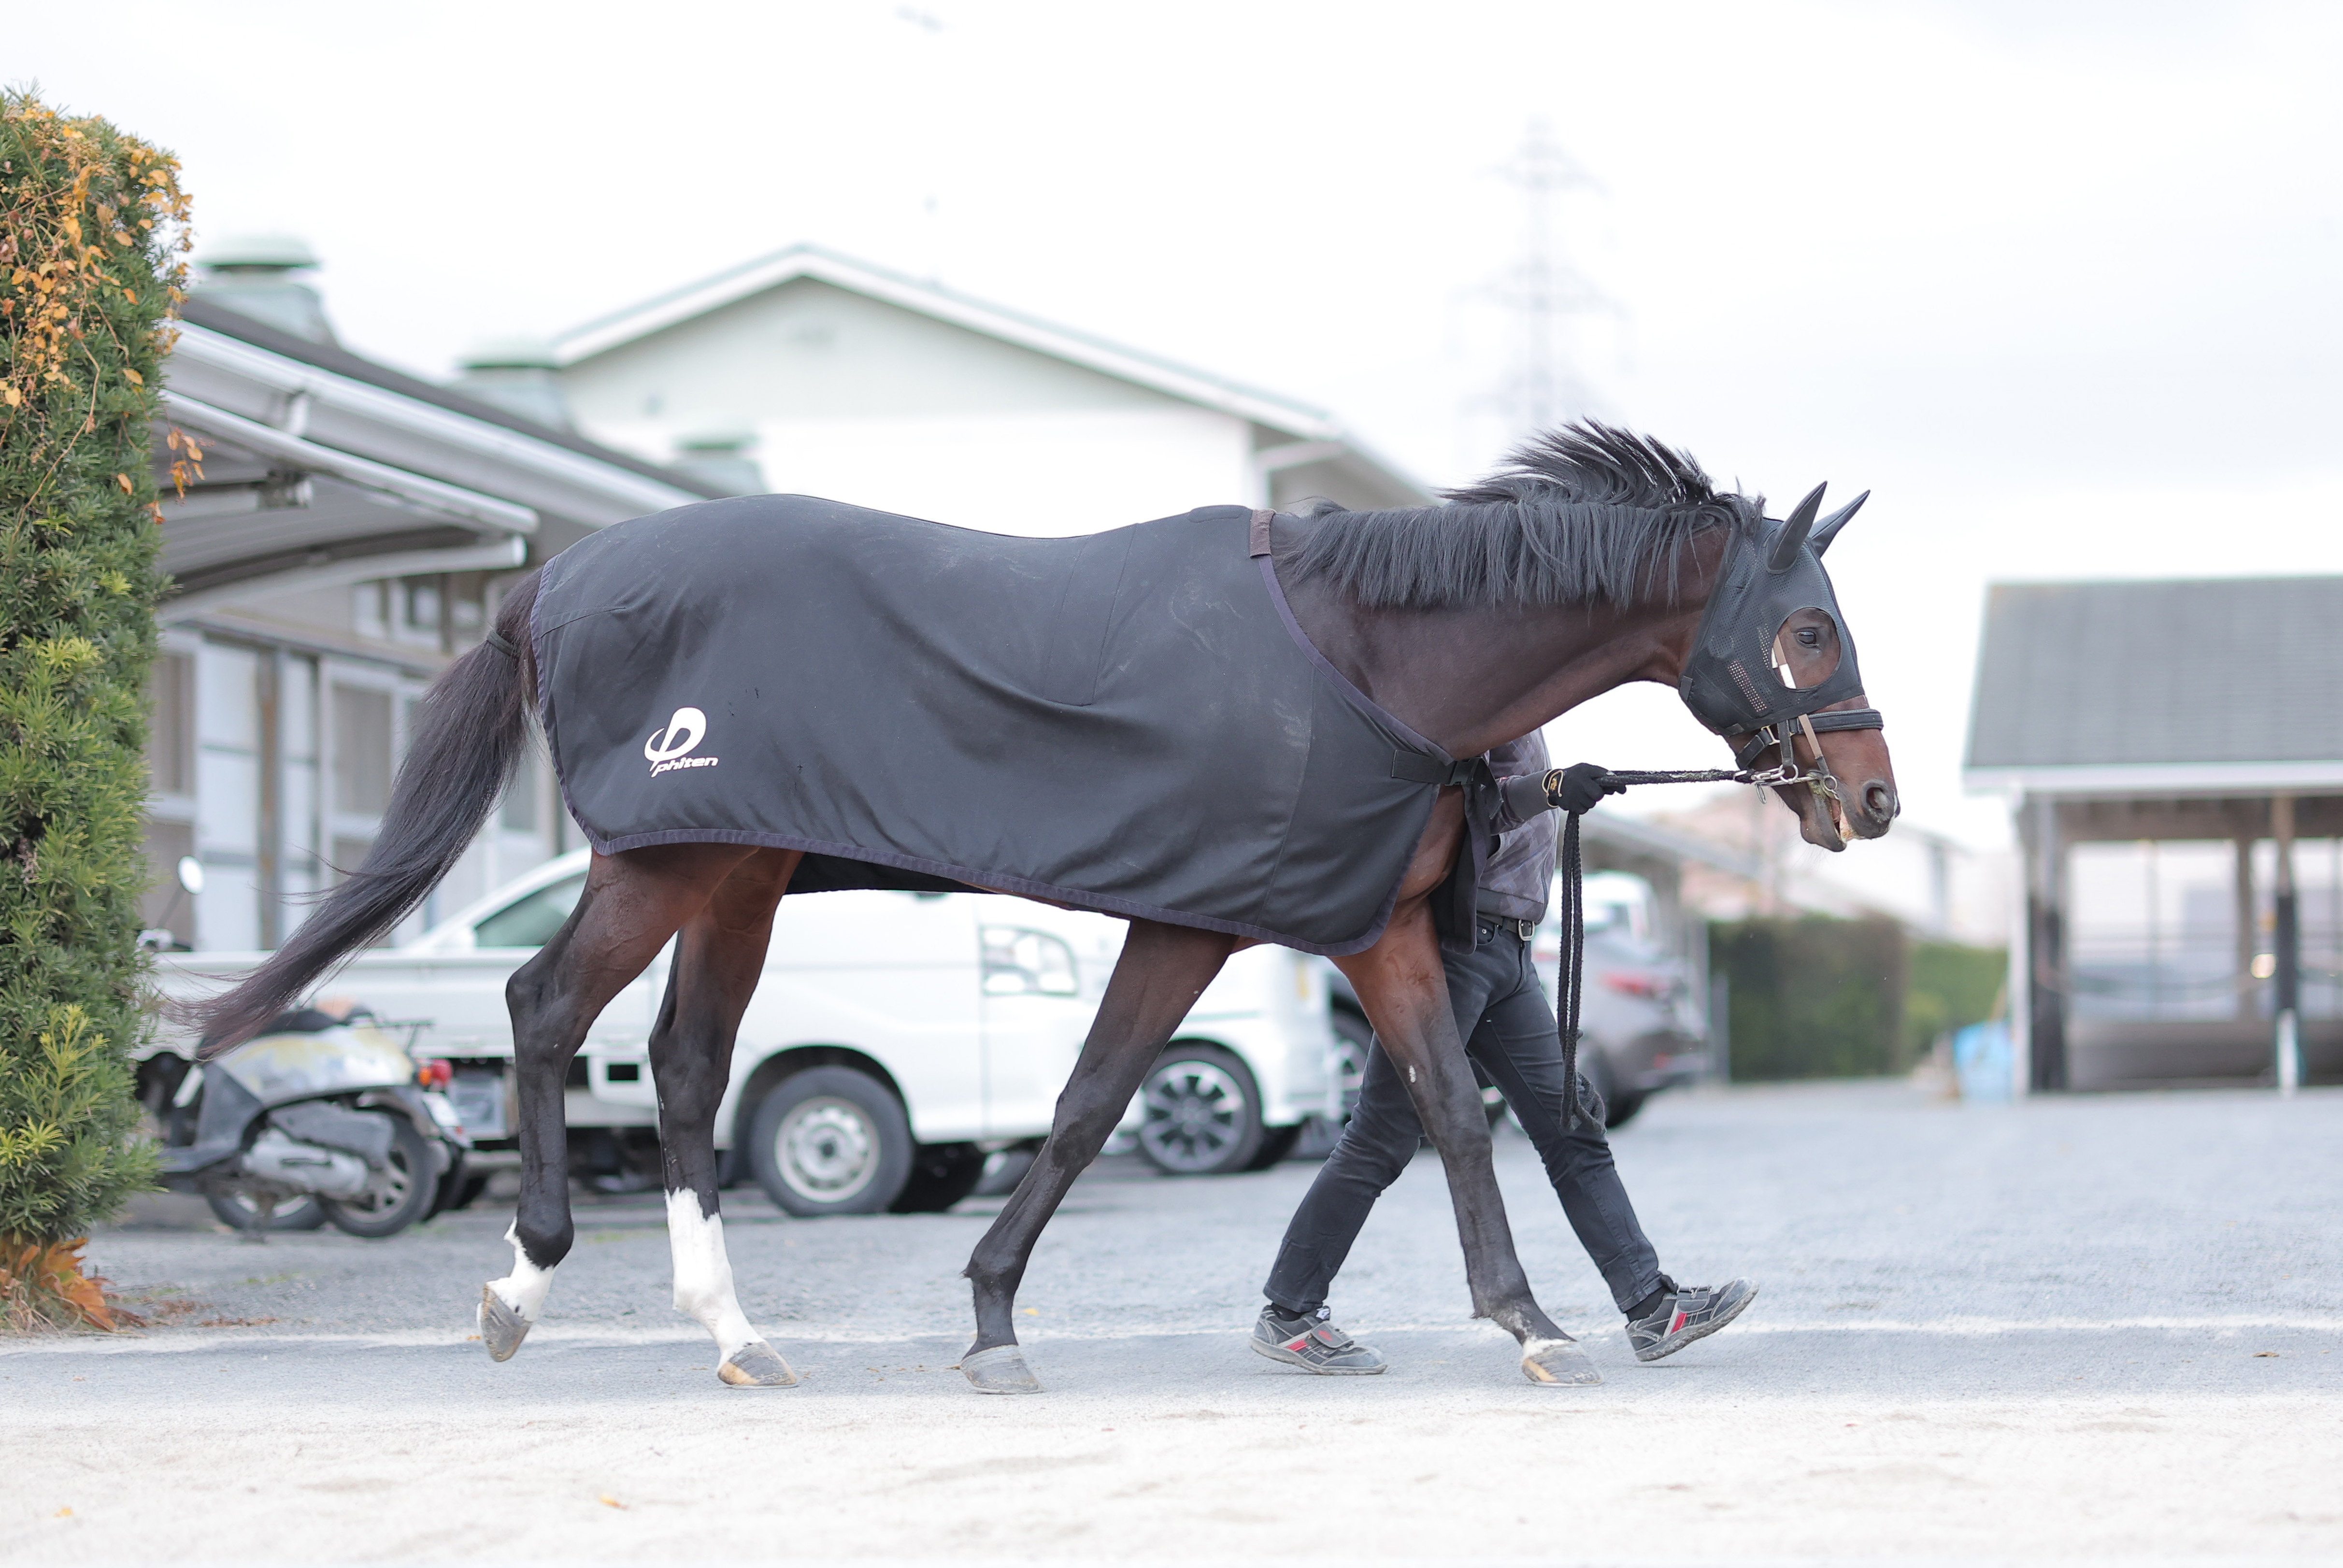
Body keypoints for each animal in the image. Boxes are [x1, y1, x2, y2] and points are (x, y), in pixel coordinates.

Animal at [188, 421, 1896, 1393]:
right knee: (546, 1011)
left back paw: (736, 1334)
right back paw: (523, 1284)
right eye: (1809, 628)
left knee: (681, 1064)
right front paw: (994, 1325)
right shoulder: (1208, 918)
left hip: (737, 869)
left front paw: (1534, 1322)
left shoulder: (1376, 928)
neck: (1364, 655)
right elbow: (1086, 1110)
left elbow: (1453, 1117)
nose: (1869, 801)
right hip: (661, 859)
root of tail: (559, 575)